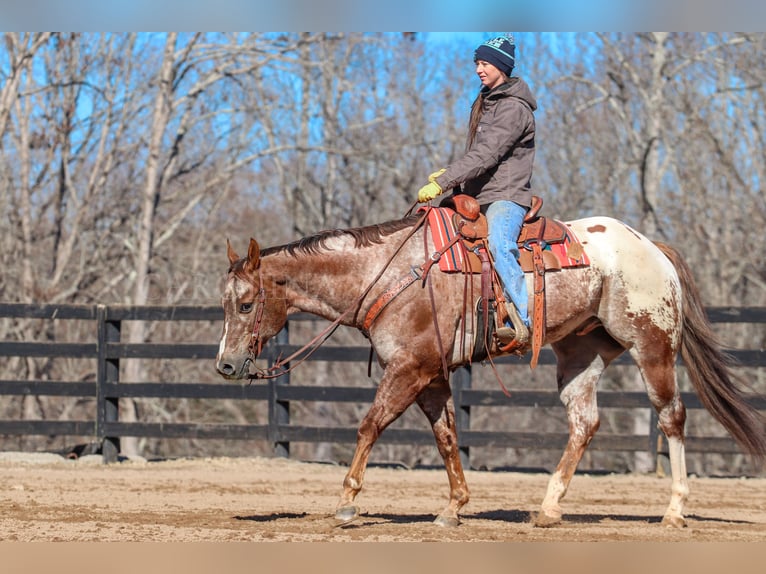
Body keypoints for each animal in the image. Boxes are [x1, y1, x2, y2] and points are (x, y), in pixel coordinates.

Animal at [216, 207, 766, 532]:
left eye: (244, 304)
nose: (225, 364)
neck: (392, 273)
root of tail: (651, 247)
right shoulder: (431, 375)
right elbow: (446, 437)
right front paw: (454, 506)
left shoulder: (408, 369)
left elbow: (370, 425)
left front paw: (347, 502)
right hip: (581, 355)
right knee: (584, 422)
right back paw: (548, 509)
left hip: (652, 346)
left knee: (671, 417)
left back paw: (674, 510)